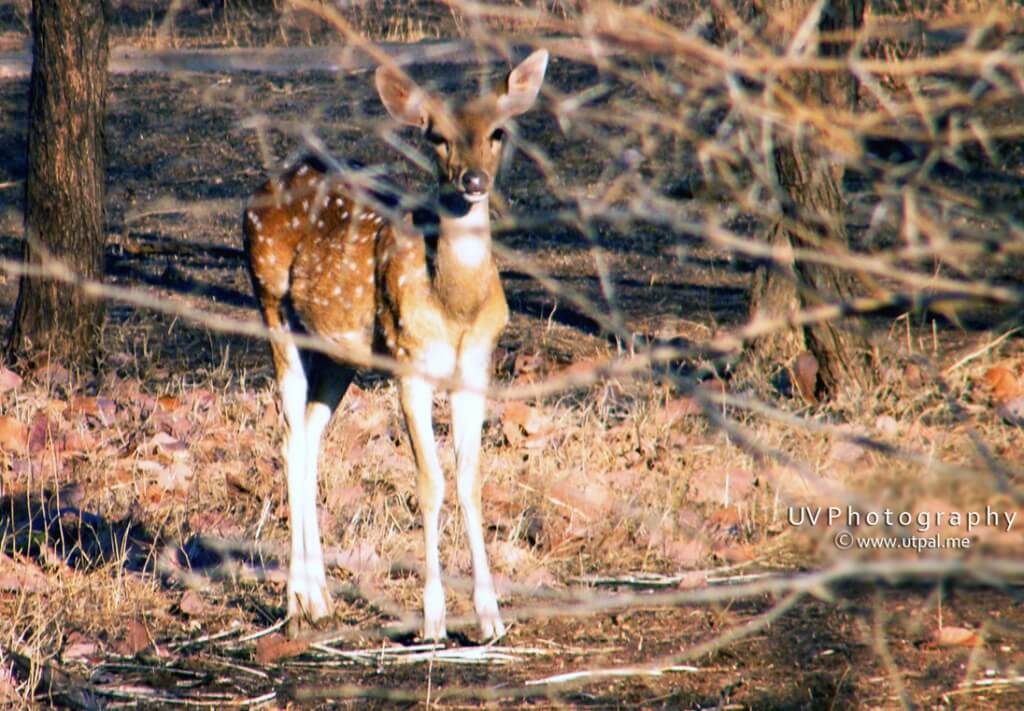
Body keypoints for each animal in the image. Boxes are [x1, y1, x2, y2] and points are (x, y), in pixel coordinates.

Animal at [243, 50, 548, 639]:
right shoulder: (410, 360)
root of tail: (263, 190)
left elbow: (470, 479)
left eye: (497, 132)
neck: (455, 305)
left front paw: (490, 618)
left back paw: (319, 599)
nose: (474, 180)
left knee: (310, 436)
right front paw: (433, 619)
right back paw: (294, 601)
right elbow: (430, 481)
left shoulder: (476, 366)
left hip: (339, 353)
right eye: (437, 138)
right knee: (288, 435)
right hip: (270, 304)